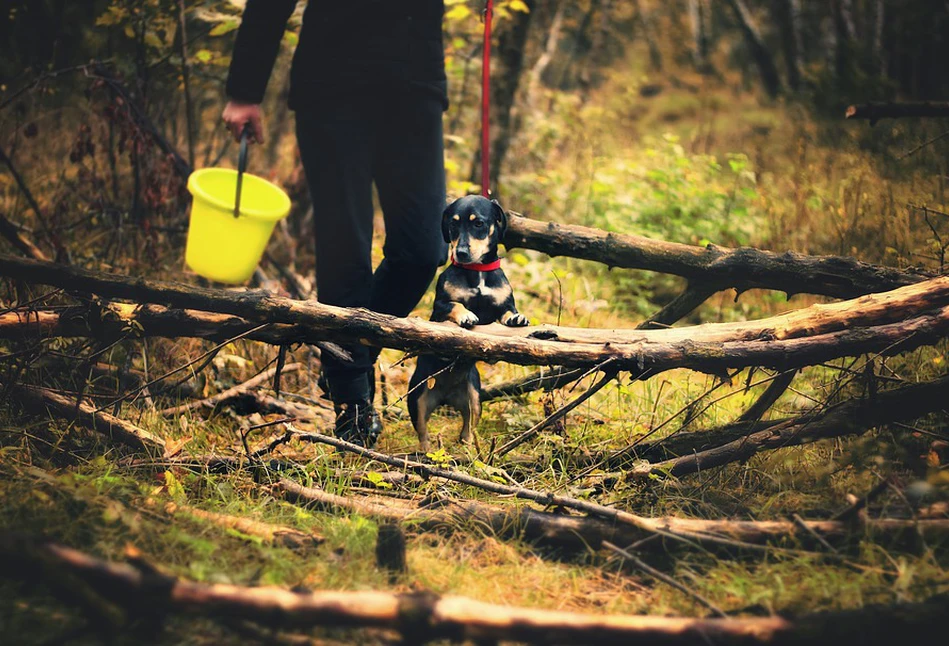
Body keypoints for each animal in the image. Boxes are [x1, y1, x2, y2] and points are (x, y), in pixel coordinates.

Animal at [406, 195, 528, 454]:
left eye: (478, 223)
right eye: (453, 225)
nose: (461, 252)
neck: (477, 271)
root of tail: (445, 397)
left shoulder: (503, 304)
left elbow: (507, 313)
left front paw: (517, 319)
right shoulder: (440, 307)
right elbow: (456, 305)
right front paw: (467, 316)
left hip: (474, 399)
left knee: (466, 431)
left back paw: (469, 449)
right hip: (418, 399)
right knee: (423, 432)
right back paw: (427, 453)